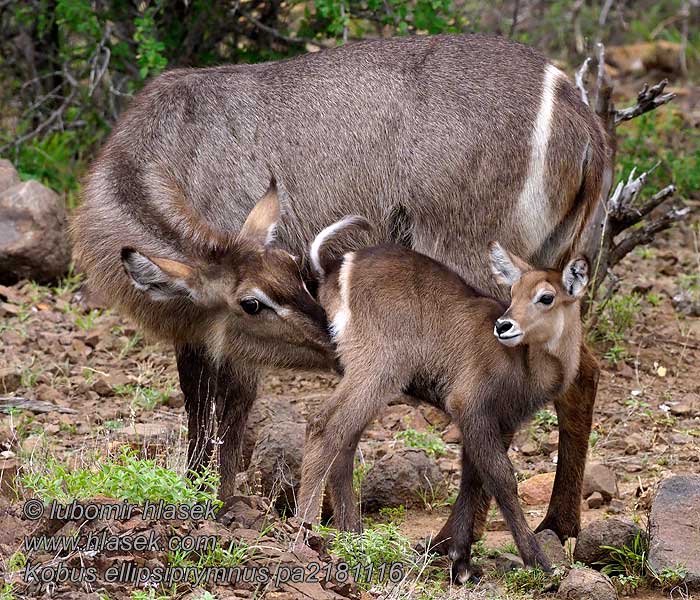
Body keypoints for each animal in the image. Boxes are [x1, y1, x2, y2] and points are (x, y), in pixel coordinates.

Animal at [296, 218, 592, 580]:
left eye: (546, 297)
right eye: (513, 292)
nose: (504, 326)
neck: (525, 364)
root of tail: (337, 269)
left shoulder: (498, 422)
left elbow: (473, 479)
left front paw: (460, 560)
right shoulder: (470, 407)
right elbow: (501, 479)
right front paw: (539, 562)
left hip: (360, 373)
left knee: (345, 439)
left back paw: (354, 537)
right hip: (379, 368)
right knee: (324, 426)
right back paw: (307, 533)